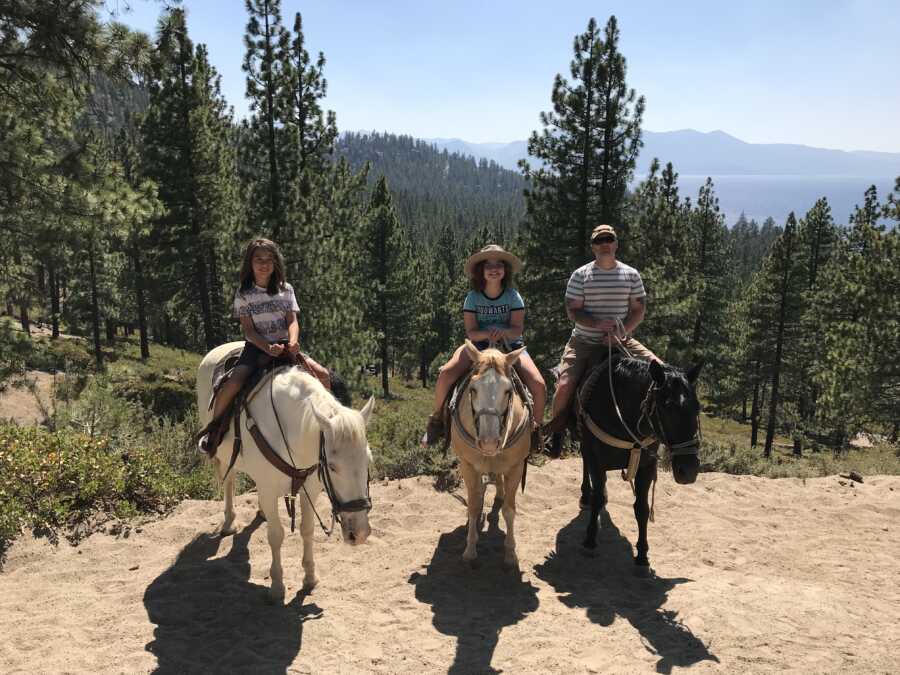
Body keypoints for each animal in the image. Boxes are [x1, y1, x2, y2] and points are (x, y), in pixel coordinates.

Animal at [197, 344, 376, 604]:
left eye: (368, 461)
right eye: (332, 466)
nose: (360, 534)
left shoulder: (310, 487)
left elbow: (307, 529)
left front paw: (310, 577)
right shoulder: (270, 489)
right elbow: (276, 535)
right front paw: (277, 586)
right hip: (222, 452)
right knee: (229, 480)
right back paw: (229, 521)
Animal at [450, 340, 536, 568]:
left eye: (508, 390)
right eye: (473, 388)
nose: (488, 442)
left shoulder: (515, 467)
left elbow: (509, 510)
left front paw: (510, 553)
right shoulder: (468, 466)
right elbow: (473, 506)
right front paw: (470, 549)